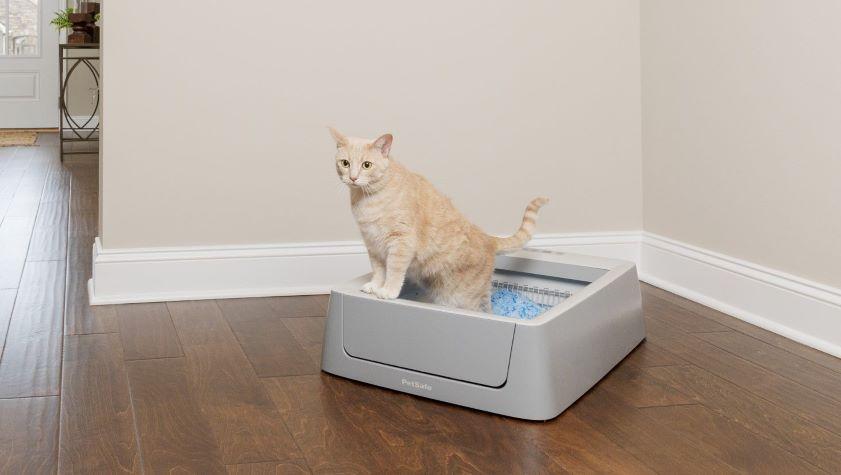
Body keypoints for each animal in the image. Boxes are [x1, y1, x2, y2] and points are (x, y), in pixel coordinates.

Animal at [332, 127, 548, 312]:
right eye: (345, 163)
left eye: (366, 165)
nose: (353, 177)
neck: (367, 198)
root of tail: (487, 237)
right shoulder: (372, 244)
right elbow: (378, 270)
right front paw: (375, 286)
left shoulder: (401, 242)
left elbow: (393, 269)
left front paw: (388, 290)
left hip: (463, 297)